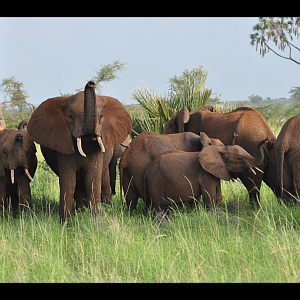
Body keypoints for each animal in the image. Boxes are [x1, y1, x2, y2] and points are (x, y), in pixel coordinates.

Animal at [27, 81, 132, 221]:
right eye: (70, 116)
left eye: (101, 116)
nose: (91, 83)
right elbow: (69, 181)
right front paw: (66, 222)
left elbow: (92, 180)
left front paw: (96, 220)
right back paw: (81, 212)